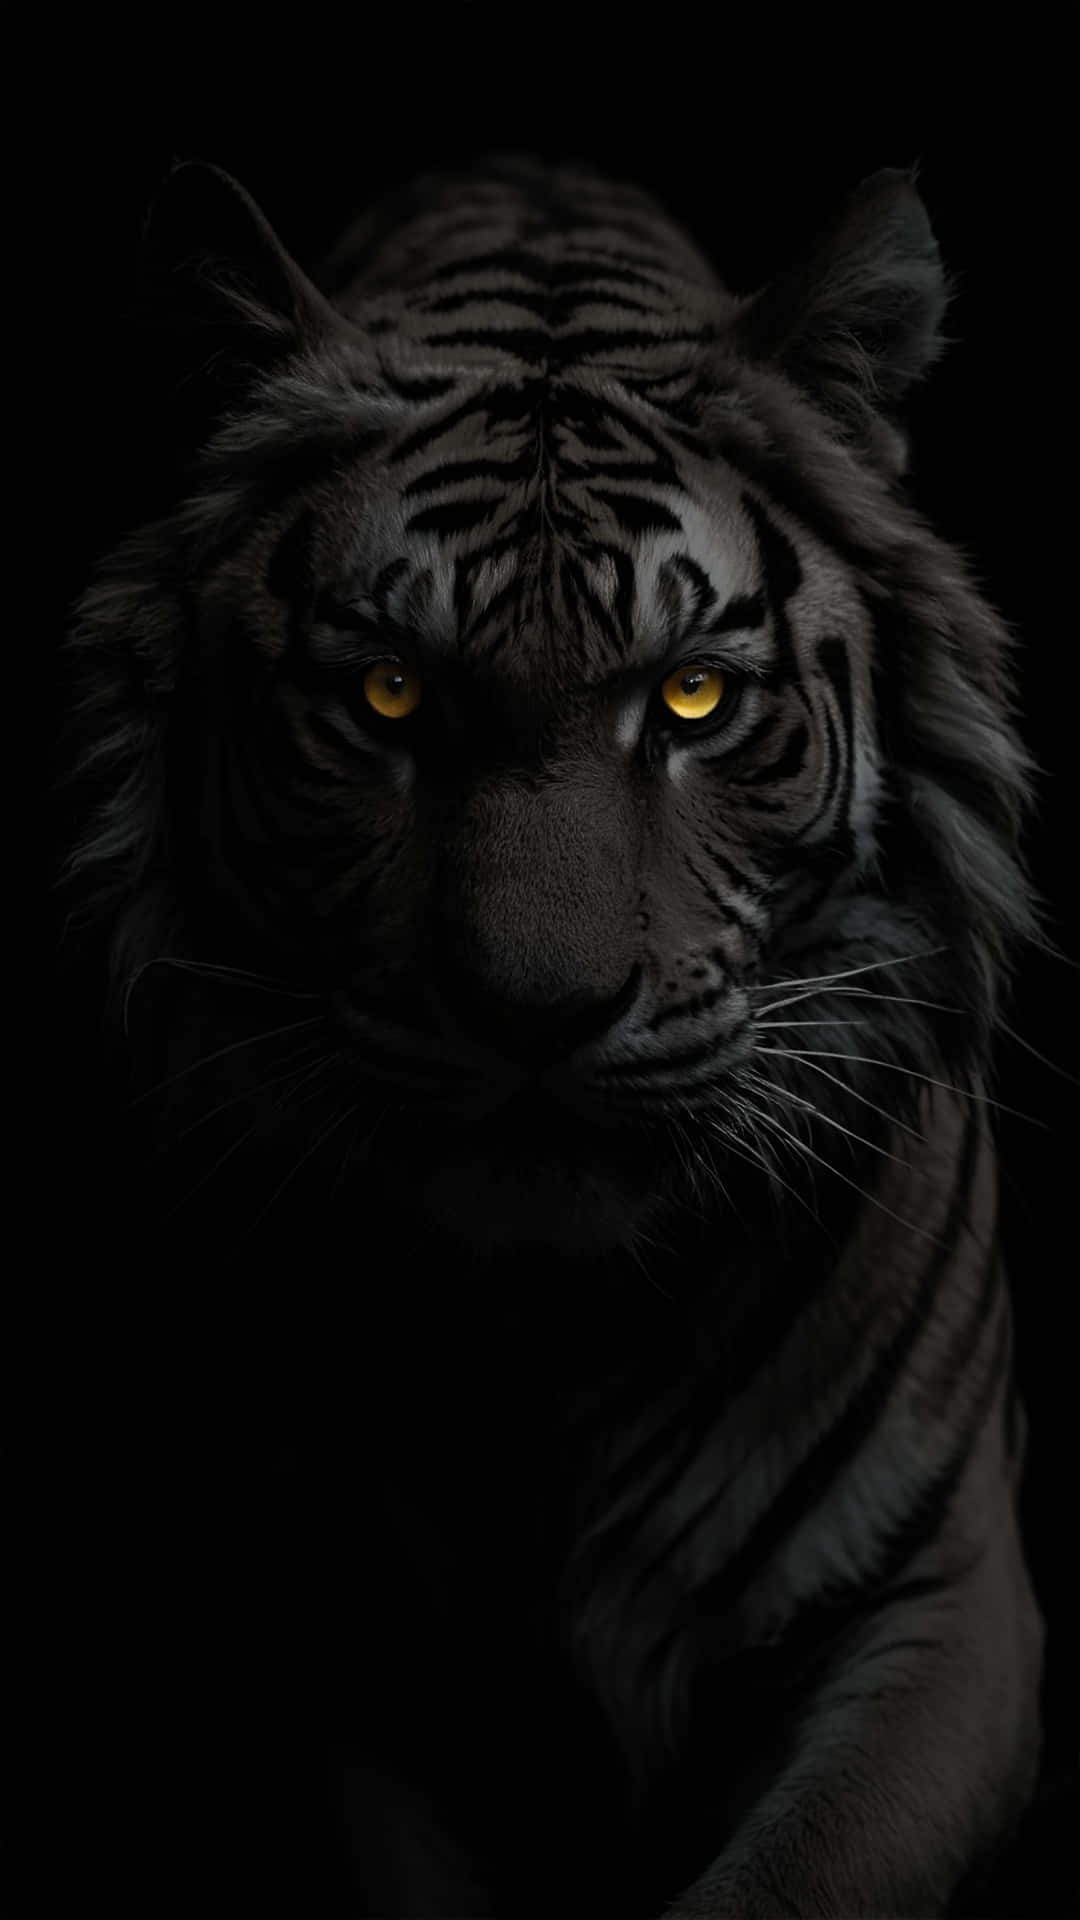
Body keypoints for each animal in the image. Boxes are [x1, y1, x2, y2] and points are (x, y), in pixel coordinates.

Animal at [51, 152, 1046, 1917]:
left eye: (695, 700)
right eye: (386, 697)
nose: (538, 1013)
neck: (551, 1346)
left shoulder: (944, 1607)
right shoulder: (335, 1656)